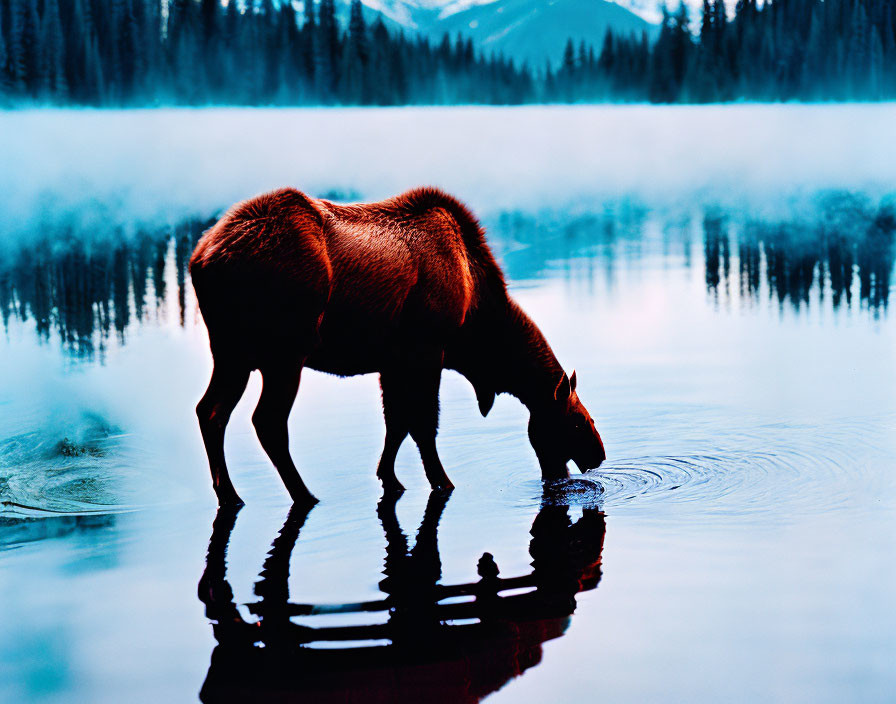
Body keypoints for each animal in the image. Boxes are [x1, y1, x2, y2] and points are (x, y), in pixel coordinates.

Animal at [192, 187, 604, 506]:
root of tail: (200, 260)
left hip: (230, 354)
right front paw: (442, 482)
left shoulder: (391, 362)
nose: (599, 456)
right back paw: (304, 494)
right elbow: (422, 425)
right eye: (580, 420)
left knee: (210, 411)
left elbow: (396, 424)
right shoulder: (428, 351)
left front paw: (389, 478)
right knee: (268, 421)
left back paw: (229, 494)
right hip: (285, 354)